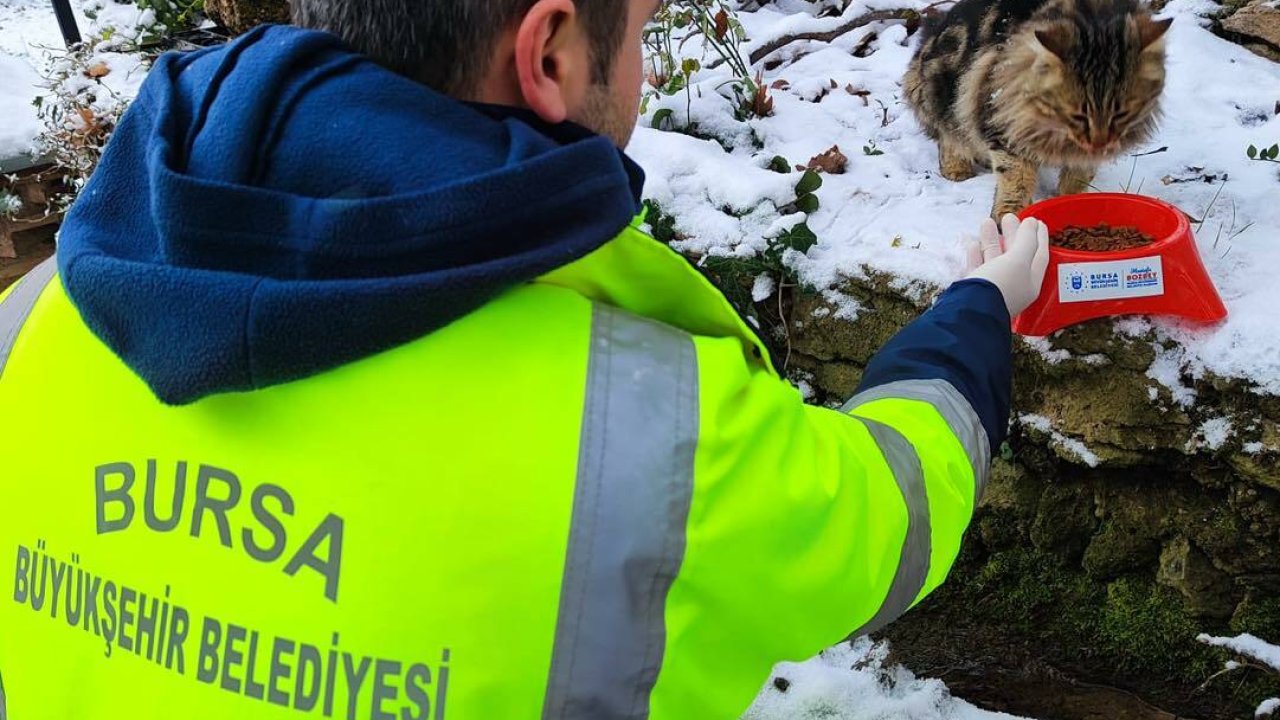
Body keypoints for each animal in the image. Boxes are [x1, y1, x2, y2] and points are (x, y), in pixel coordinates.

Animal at [901, 0, 1172, 215]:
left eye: (1121, 114)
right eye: (1077, 115)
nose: (1098, 143)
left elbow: (1078, 175)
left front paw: (1071, 199)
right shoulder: (1002, 120)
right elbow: (1016, 178)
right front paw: (1008, 216)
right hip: (941, 94)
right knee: (949, 135)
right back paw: (958, 169)